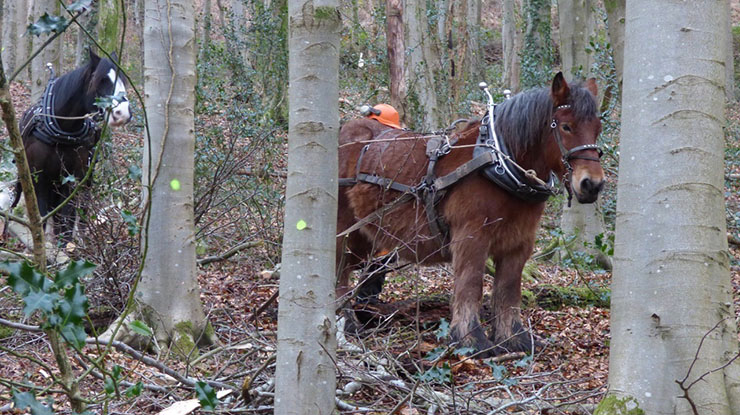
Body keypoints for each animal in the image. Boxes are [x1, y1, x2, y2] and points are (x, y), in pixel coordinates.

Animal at [14, 49, 131, 240]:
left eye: (122, 80)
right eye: (101, 80)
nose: (123, 113)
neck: (61, 131)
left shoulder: (72, 180)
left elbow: (66, 222)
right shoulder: (39, 179)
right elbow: (42, 218)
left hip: (85, 181)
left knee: (81, 213)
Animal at [338, 73, 604, 356]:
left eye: (597, 128)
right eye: (566, 127)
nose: (593, 184)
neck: (499, 165)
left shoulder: (519, 243)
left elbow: (509, 289)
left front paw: (514, 338)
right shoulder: (471, 237)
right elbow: (471, 285)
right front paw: (471, 340)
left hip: (366, 235)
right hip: (343, 229)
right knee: (339, 272)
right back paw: (346, 324)